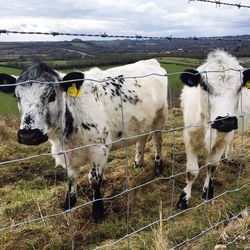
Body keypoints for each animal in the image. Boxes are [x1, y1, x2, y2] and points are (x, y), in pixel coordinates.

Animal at [0, 59, 169, 222]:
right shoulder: (67, 154)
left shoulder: (99, 149)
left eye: (51, 96)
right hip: (141, 123)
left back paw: (158, 167)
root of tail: (151, 61)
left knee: (157, 141)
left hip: (159, 118)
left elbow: (94, 180)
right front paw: (69, 203)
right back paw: (137, 164)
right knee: (141, 140)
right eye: (17, 97)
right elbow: (70, 178)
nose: (28, 135)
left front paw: (98, 211)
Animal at [176, 50, 250, 209]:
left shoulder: (221, 140)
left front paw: (207, 191)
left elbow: (212, 166)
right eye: (205, 86)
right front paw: (184, 199)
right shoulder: (190, 138)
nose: (226, 121)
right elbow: (192, 171)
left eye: (240, 87)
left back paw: (229, 155)